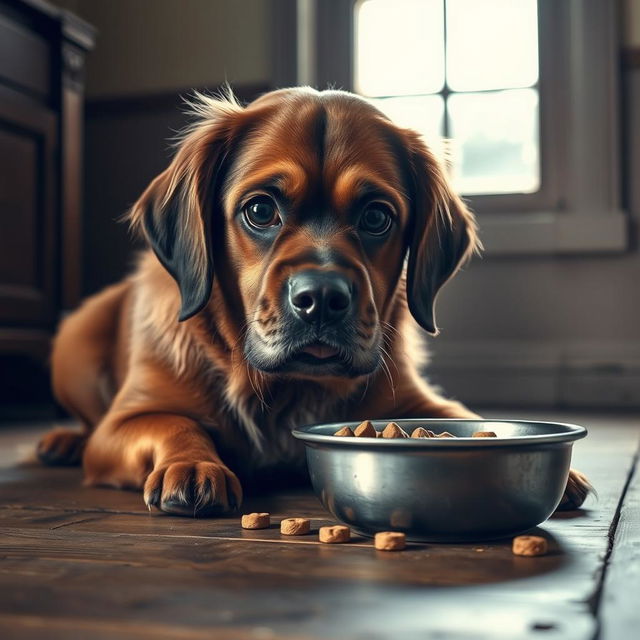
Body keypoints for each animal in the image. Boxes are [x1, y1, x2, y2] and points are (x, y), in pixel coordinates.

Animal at [38, 86, 592, 516]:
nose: (322, 298)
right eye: (260, 210)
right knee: (85, 421)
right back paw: (63, 440)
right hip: (75, 339)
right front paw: (192, 464)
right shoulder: (125, 423)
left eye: (377, 216)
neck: (286, 390)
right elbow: (174, 424)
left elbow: (462, 416)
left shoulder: (418, 402)